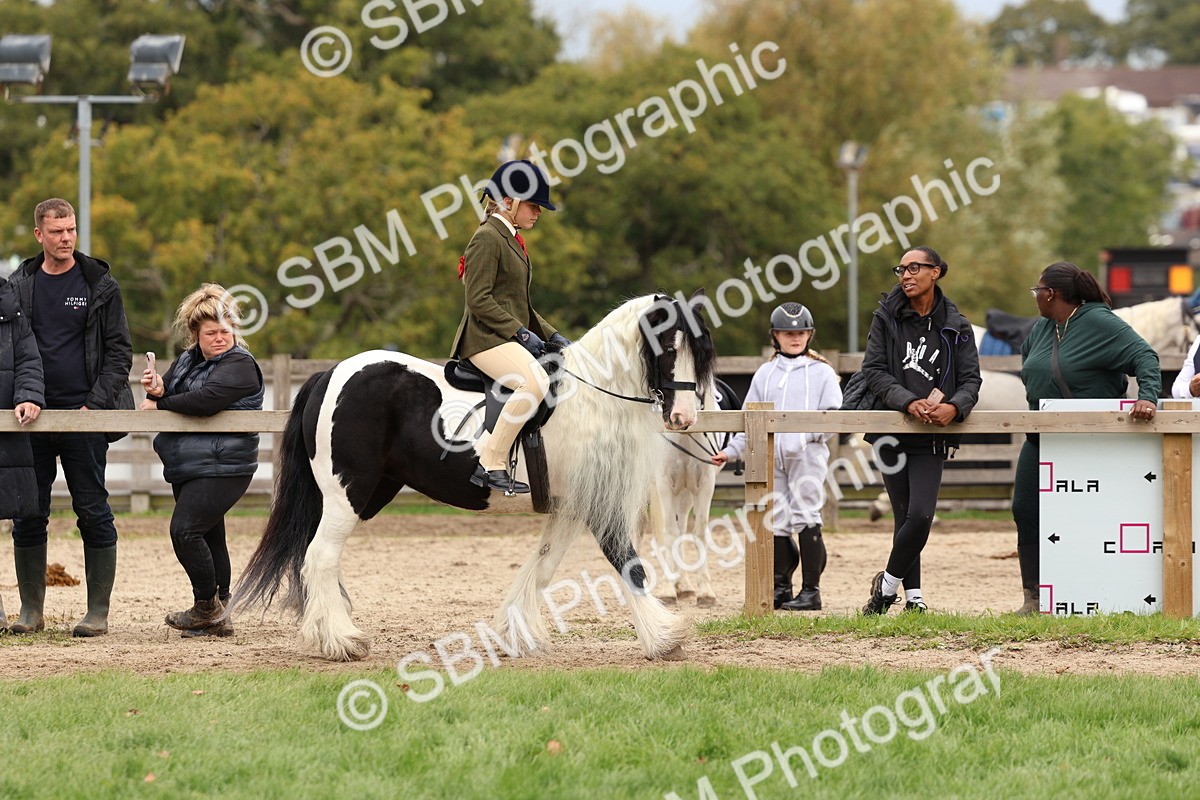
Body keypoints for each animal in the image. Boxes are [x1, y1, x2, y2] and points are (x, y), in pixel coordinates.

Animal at [229, 294, 716, 662]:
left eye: (699, 351)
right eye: (668, 347)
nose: (684, 417)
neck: (594, 397)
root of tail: (330, 373)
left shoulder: (569, 507)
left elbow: (543, 566)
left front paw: (514, 632)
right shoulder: (598, 504)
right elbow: (628, 563)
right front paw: (664, 637)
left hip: (363, 494)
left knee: (315, 559)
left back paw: (323, 633)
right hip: (348, 493)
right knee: (321, 557)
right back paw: (341, 641)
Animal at [645, 378, 741, 607]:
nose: (682, 416)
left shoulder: (704, 485)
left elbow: (698, 532)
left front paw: (704, 592)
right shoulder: (663, 483)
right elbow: (669, 533)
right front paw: (667, 590)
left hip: (685, 493)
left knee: (681, 528)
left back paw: (685, 585)